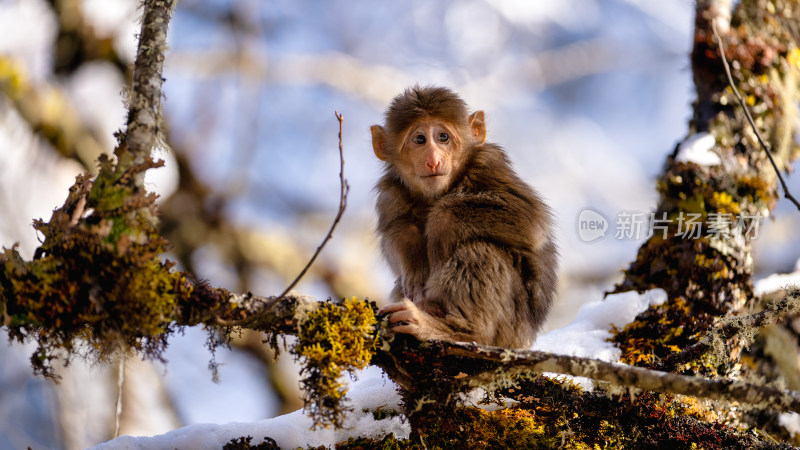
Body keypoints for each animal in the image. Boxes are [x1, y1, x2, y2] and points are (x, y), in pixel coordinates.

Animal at [368, 86, 556, 350]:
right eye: (419, 139)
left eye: (442, 137)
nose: (433, 160)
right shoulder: (390, 193)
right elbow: (394, 235)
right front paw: (413, 260)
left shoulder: (488, 164)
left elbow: (530, 221)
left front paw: (439, 228)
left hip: (510, 330)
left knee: (479, 248)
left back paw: (462, 329)